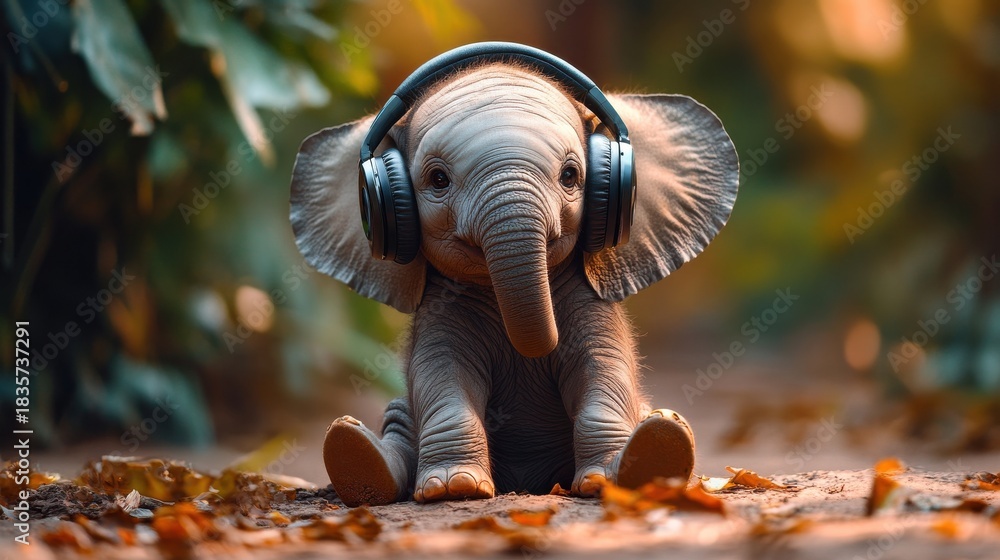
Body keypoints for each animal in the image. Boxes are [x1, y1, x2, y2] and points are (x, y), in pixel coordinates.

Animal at [289, 60, 739, 507]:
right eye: (438, 181)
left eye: (571, 176)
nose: (544, 340)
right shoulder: (441, 313)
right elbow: (443, 376)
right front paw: (454, 489)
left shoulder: (590, 304)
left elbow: (601, 367)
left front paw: (603, 483)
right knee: (399, 418)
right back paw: (359, 459)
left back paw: (659, 442)